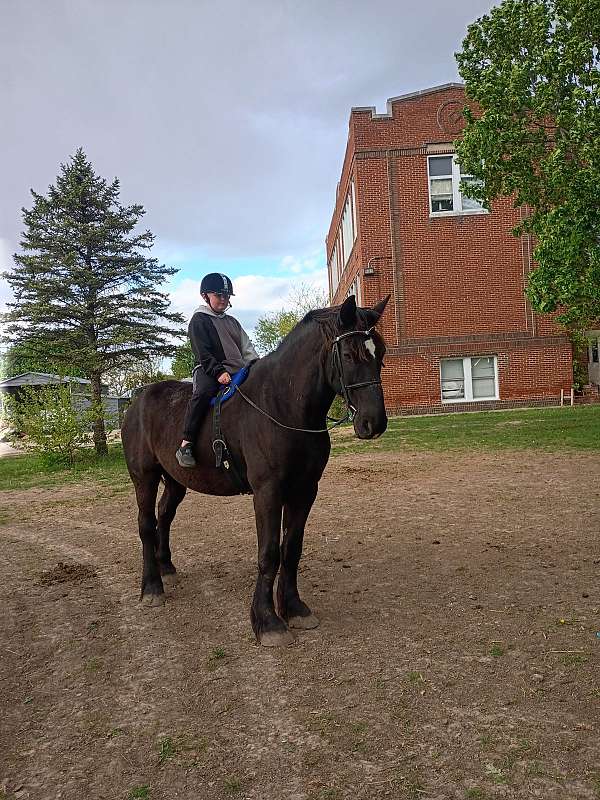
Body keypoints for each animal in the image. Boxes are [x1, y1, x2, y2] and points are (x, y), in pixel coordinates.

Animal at [121, 294, 389, 647]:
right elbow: (269, 553)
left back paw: (166, 567)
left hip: (176, 481)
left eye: (380, 353)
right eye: (348, 354)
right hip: (145, 478)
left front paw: (294, 608)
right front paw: (267, 621)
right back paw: (152, 586)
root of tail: (137, 401)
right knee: (146, 525)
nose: (374, 423)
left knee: (164, 516)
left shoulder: (305, 490)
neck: (281, 405)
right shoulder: (267, 492)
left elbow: (291, 549)